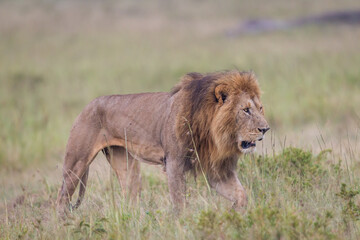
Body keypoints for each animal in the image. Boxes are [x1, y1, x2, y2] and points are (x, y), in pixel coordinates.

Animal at [56, 70, 268, 216]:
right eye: (246, 110)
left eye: (260, 108)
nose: (265, 129)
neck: (211, 131)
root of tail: (87, 105)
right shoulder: (174, 163)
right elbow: (180, 203)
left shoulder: (217, 170)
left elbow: (241, 195)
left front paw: (235, 215)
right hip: (76, 163)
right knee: (61, 199)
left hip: (126, 165)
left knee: (130, 198)